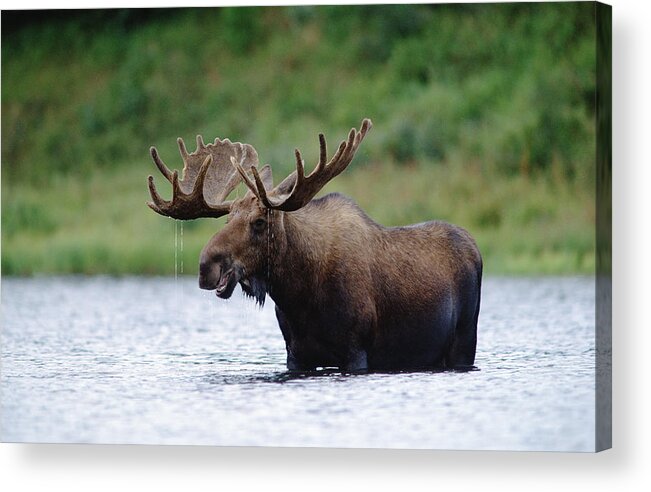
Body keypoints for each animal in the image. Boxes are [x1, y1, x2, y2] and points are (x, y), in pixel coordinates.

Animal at [149, 120, 484, 372]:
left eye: (260, 221)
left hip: (465, 340)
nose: (207, 266)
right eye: (228, 218)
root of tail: (475, 247)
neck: (299, 295)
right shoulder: (296, 354)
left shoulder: (356, 350)